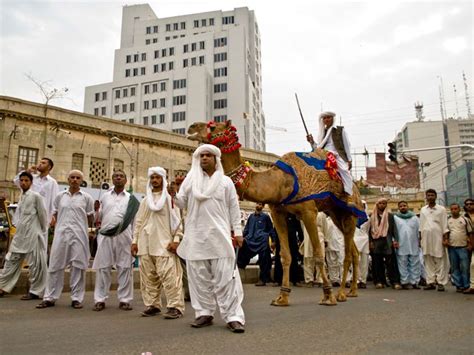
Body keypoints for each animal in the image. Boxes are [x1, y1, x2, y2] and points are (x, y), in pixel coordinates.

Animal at [187, 120, 364, 306]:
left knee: (347, 254)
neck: (279, 182)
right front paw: (282, 297)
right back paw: (352, 291)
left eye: (213, 126)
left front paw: (328, 295)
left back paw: (341, 293)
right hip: (335, 213)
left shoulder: (309, 211)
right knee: (354, 251)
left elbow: (317, 253)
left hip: (350, 212)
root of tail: (356, 189)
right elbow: (285, 255)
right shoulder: (277, 212)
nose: (191, 128)